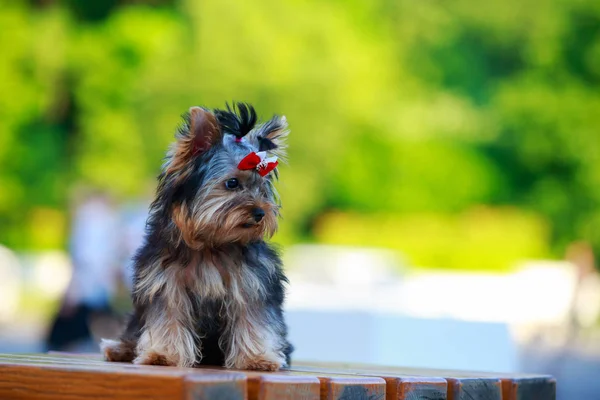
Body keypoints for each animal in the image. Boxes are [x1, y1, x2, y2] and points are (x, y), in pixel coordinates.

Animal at [101, 101, 292, 370]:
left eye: (262, 189)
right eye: (232, 183)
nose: (260, 213)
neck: (211, 243)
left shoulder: (252, 284)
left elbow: (253, 318)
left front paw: (257, 358)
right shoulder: (165, 283)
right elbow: (167, 317)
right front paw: (162, 355)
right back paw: (121, 348)